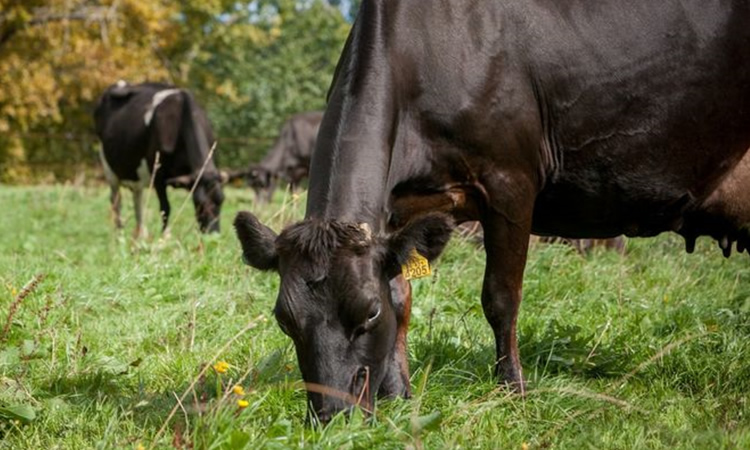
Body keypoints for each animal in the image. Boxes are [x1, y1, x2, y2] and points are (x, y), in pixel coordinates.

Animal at [93, 81, 225, 236]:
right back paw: (120, 234)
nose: (213, 234)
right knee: (116, 201)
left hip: (135, 173)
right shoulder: (158, 175)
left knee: (137, 200)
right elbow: (165, 208)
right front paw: (164, 237)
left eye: (221, 200)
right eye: (199, 203)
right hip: (108, 168)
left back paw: (141, 235)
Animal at [235, 0, 750, 422]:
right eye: (285, 319)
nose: (331, 417)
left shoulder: (511, 182)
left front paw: (512, 389)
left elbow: (501, 297)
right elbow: (403, 298)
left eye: (367, 314)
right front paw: (399, 394)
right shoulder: (399, 211)